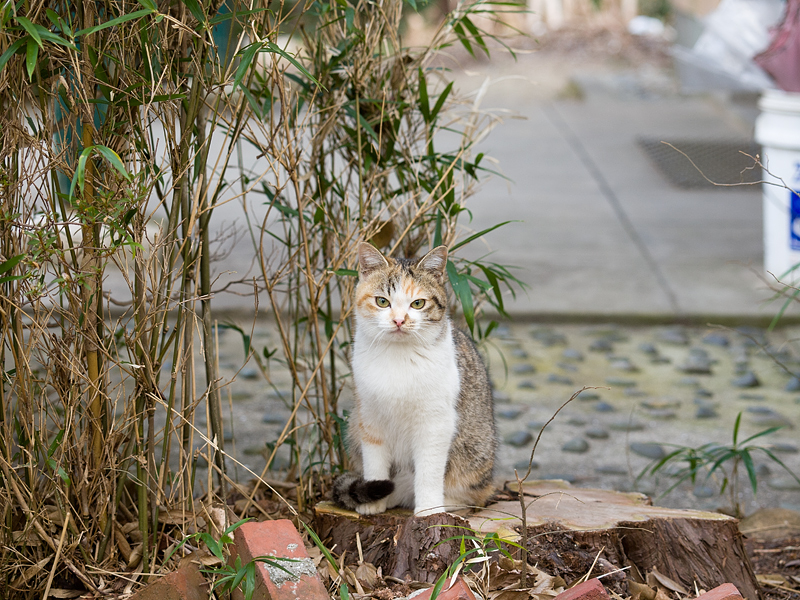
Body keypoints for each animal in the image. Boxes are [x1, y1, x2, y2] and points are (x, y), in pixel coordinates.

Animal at [330, 243, 494, 516]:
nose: (399, 320)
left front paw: (429, 511)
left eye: (417, 303)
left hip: (473, 455)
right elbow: (375, 463)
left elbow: (428, 471)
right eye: (382, 301)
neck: (399, 357)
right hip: (353, 425)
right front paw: (374, 502)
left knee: (473, 494)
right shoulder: (370, 418)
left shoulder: (435, 424)